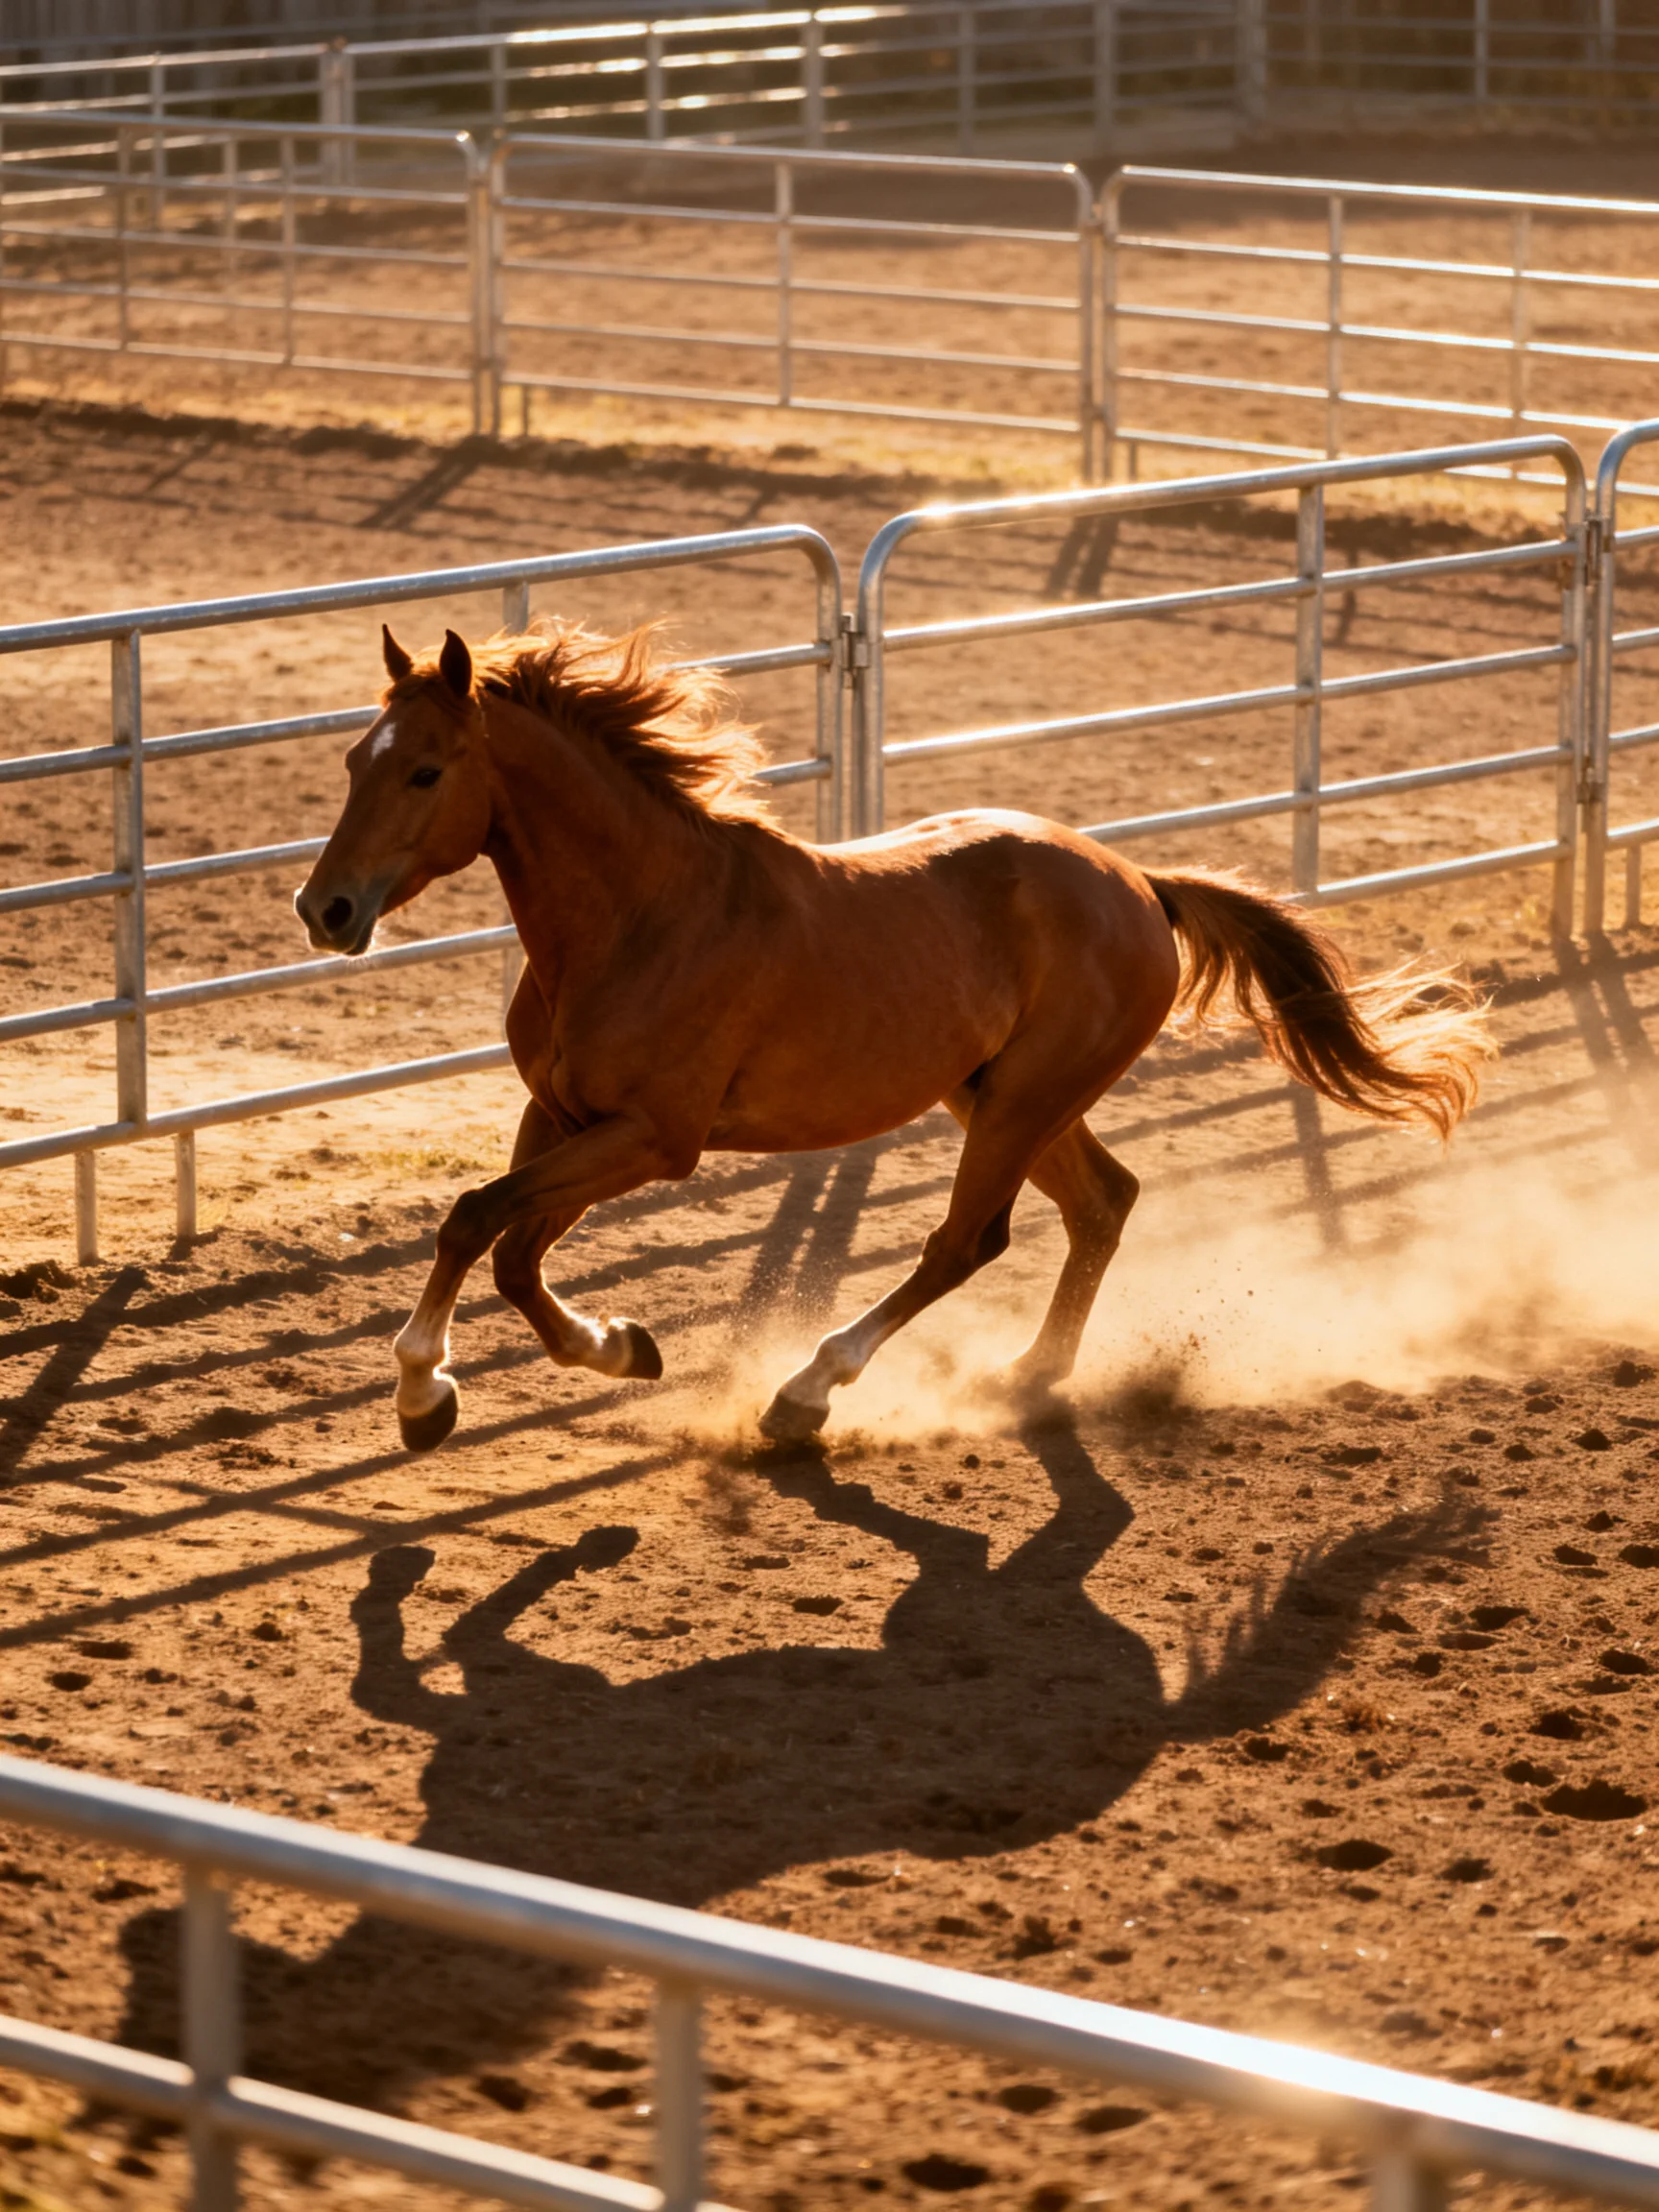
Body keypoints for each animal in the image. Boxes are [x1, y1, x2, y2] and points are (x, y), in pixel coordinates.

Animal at [294, 621, 1488, 1453]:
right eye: (354, 760)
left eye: (426, 770)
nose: (326, 909)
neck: (643, 918)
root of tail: (1142, 886)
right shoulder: (560, 1114)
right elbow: (505, 1249)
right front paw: (612, 1350)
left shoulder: (654, 1139)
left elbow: (475, 1219)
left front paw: (423, 1384)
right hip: (1002, 1094)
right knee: (1104, 1204)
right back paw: (1028, 1376)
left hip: (1020, 1103)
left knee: (967, 1242)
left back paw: (806, 1394)